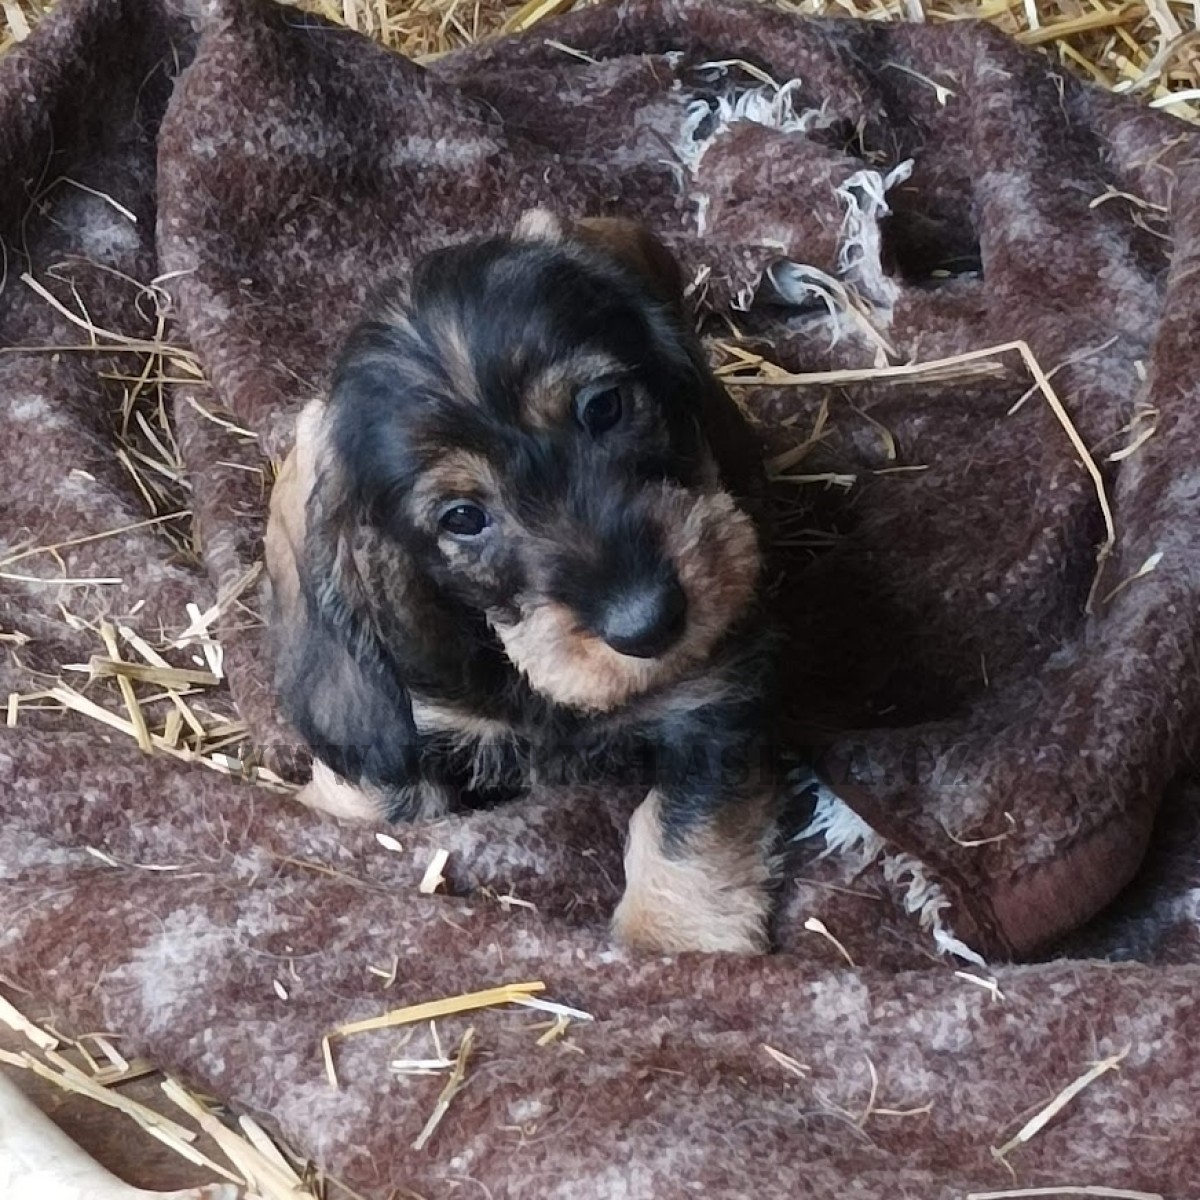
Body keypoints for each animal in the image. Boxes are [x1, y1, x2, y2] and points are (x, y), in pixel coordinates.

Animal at [265, 210, 781, 954]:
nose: (650, 622)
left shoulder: (708, 704)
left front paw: (670, 934)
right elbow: (387, 799)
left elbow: (684, 838)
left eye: (604, 406)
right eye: (462, 517)